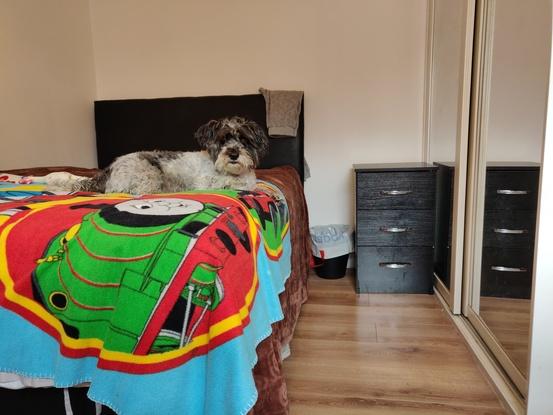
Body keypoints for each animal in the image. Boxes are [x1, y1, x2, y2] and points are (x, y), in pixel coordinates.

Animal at [42, 116, 268, 196]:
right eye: (222, 140)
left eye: (244, 140)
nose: (233, 153)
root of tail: (109, 170)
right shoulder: (207, 184)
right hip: (149, 175)